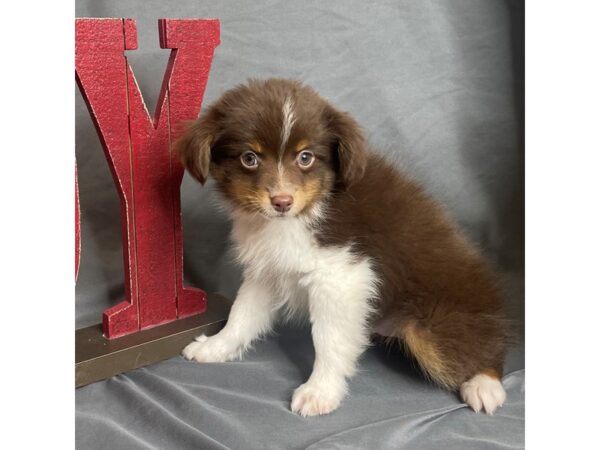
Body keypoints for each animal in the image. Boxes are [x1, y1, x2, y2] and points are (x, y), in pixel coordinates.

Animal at [176, 78, 512, 418]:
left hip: (434, 328)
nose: (282, 202)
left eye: (306, 157)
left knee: (482, 347)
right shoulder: (268, 267)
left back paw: (484, 384)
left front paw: (320, 391)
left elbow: (329, 339)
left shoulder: (341, 275)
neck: (305, 211)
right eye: (249, 158)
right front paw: (215, 346)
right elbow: (242, 314)